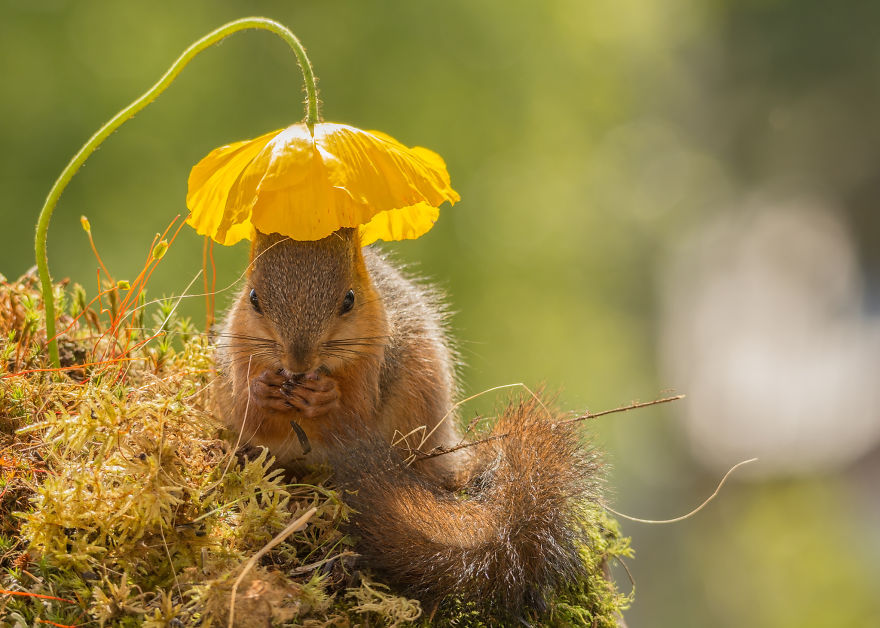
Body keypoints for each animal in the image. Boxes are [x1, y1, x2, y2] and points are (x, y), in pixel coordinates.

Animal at [212, 227, 604, 618]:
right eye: (253, 298)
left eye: (349, 300)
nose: (298, 362)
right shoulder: (237, 359)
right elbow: (248, 414)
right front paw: (262, 390)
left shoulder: (376, 364)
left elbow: (354, 415)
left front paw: (323, 397)